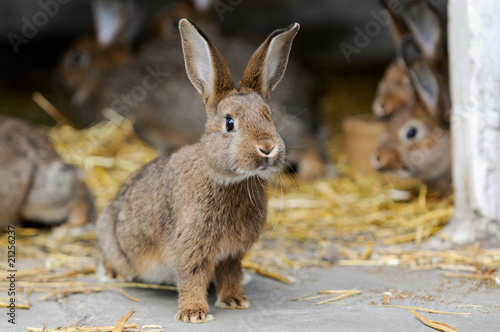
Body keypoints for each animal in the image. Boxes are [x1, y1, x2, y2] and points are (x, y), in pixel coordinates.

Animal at [95, 18, 294, 324]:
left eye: (268, 116)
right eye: (229, 123)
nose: (267, 148)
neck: (228, 179)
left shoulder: (232, 253)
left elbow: (230, 275)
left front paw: (236, 300)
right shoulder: (190, 245)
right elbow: (191, 276)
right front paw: (193, 313)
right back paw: (113, 274)